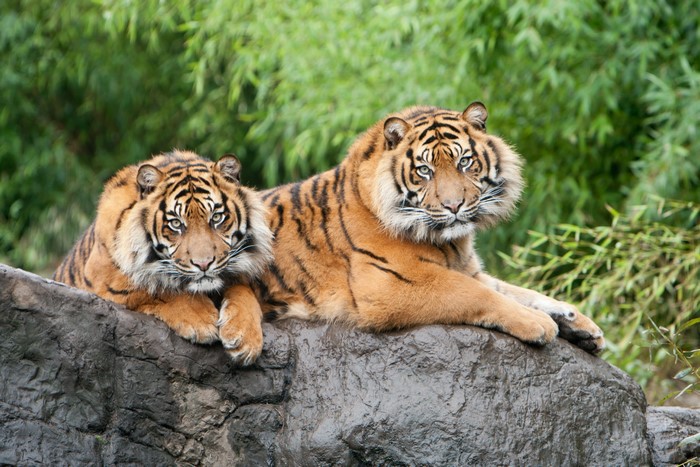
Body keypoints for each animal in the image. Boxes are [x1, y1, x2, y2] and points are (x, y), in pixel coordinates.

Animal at [53, 150, 273, 365]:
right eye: (176, 223)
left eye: (217, 218)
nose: (204, 264)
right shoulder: (106, 284)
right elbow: (154, 288)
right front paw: (201, 319)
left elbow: (244, 291)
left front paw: (245, 338)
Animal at [256, 102, 605, 353]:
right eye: (424, 170)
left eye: (465, 162)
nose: (454, 206)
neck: (448, 241)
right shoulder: (389, 284)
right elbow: (477, 294)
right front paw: (538, 323)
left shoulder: (468, 268)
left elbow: (519, 291)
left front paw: (581, 324)